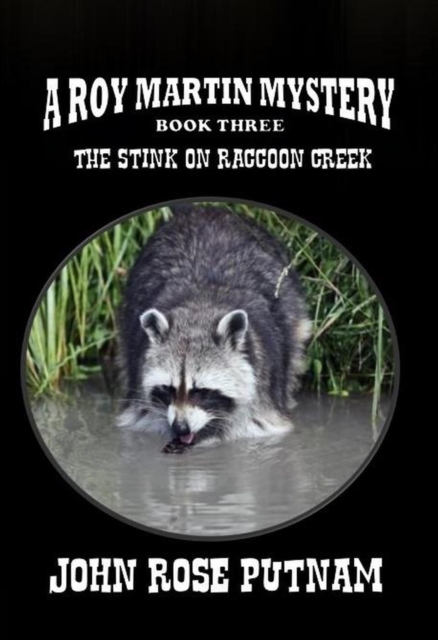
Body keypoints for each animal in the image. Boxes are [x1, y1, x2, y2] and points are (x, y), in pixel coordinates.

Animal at [116, 205, 311, 452]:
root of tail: (205, 209)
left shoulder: (264, 388)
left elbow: (255, 423)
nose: (181, 428)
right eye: (167, 389)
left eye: (201, 391)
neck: (199, 309)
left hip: (291, 307)